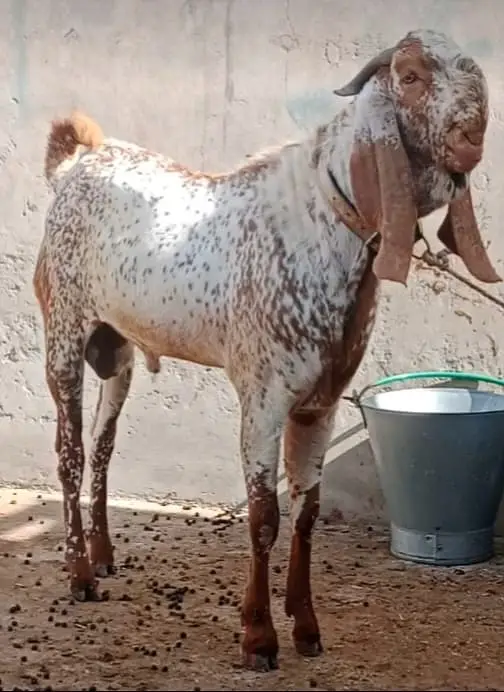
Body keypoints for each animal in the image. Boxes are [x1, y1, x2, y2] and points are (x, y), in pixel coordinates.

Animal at [33, 29, 500, 671]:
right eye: (410, 77)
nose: (471, 138)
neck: (324, 225)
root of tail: (75, 162)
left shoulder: (321, 403)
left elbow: (305, 513)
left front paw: (306, 628)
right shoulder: (263, 394)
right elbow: (262, 516)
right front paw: (257, 637)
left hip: (117, 350)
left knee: (103, 446)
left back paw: (103, 556)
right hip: (64, 329)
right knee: (70, 453)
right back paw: (79, 574)